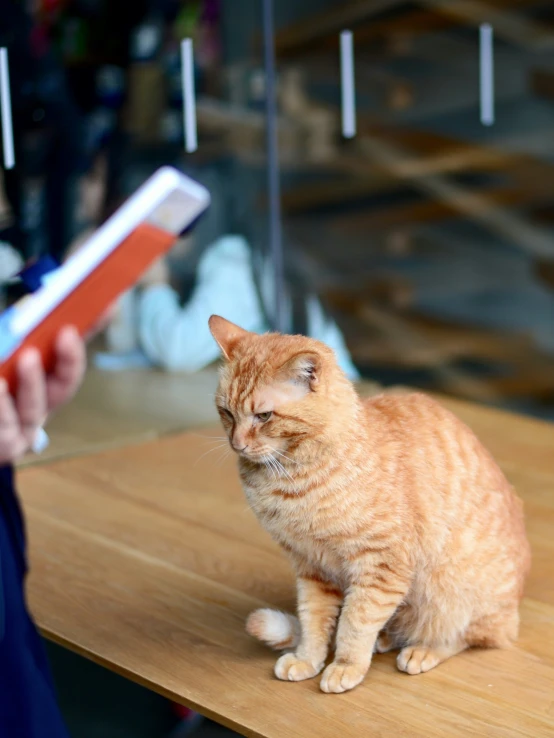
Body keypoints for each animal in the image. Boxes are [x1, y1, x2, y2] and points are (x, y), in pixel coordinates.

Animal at [209, 314, 528, 688]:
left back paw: (422, 649)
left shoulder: (380, 566)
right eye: (226, 412)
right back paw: (387, 638)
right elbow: (314, 621)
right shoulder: (311, 567)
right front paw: (308, 659)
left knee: (464, 635)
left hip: (453, 595)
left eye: (264, 416)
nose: (237, 444)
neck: (291, 481)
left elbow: (355, 623)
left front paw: (346, 665)